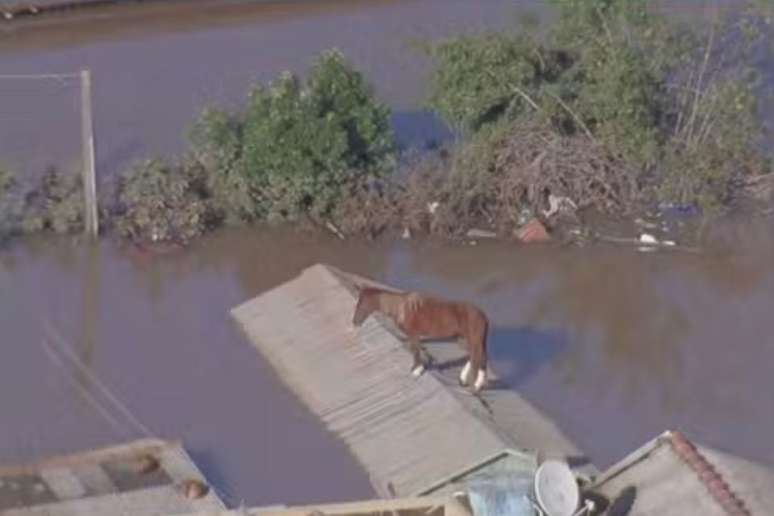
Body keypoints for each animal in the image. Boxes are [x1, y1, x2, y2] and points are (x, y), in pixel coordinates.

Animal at [354, 286, 492, 392]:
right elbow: (415, 350)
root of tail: (483, 315)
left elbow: (415, 351)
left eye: (361, 304)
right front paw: (417, 369)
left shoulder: (413, 335)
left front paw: (416, 370)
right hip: (463, 339)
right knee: (475, 356)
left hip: (472, 339)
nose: (354, 322)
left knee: (477, 357)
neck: (402, 308)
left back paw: (474, 386)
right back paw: (466, 380)